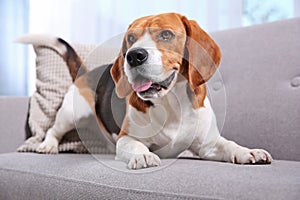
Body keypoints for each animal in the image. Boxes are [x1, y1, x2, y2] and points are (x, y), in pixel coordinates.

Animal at [37, 12, 272, 169]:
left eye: (166, 34)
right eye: (131, 38)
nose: (134, 56)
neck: (172, 103)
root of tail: (86, 72)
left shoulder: (208, 144)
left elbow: (229, 144)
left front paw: (248, 151)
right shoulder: (126, 138)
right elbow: (137, 146)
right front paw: (143, 156)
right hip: (72, 113)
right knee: (53, 130)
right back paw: (47, 145)